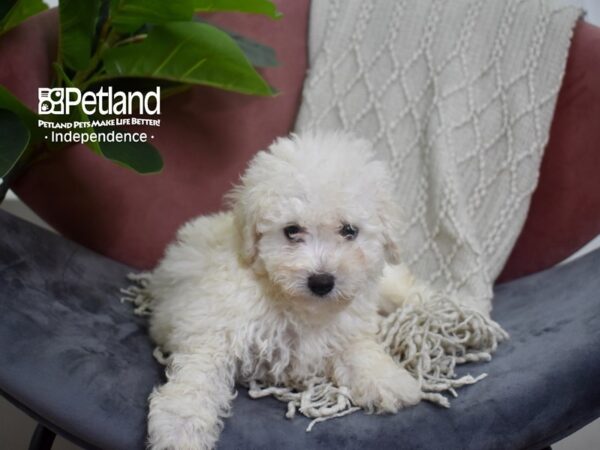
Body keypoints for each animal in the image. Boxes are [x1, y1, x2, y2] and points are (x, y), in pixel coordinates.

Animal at [146, 131, 422, 450]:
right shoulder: (212, 326)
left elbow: (359, 349)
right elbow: (198, 375)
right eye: (292, 230)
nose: (322, 282)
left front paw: (389, 381)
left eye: (349, 231)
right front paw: (180, 426)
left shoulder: (348, 327)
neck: (295, 303)